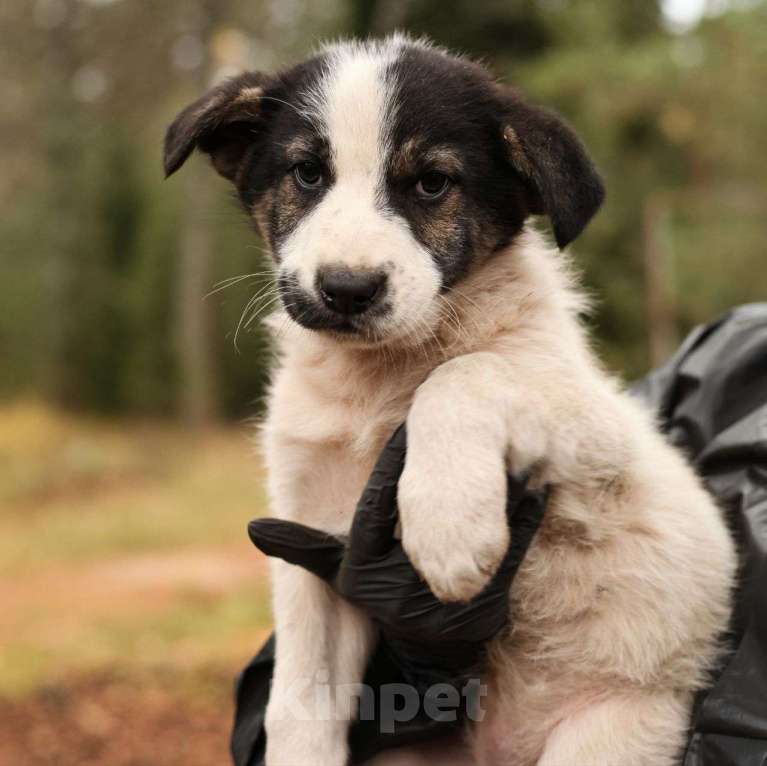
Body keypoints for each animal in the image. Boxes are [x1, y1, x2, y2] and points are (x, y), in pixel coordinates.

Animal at [165, 36, 736, 766]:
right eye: (307, 174)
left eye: (432, 184)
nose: (346, 289)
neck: (378, 378)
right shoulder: (314, 542)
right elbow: (299, 706)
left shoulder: (593, 432)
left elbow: (466, 372)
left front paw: (447, 523)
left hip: (613, 733)